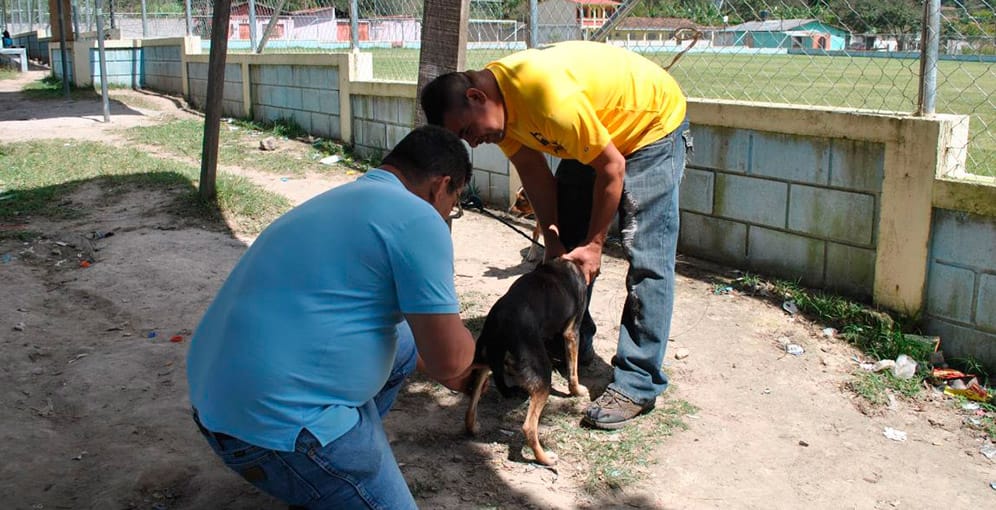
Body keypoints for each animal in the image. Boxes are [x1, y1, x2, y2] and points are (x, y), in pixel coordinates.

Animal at [462, 258, 588, 466]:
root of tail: (500, 322)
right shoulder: (572, 332)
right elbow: (573, 371)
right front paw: (577, 391)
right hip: (542, 377)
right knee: (528, 427)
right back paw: (545, 459)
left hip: (483, 362)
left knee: (471, 404)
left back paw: (473, 427)